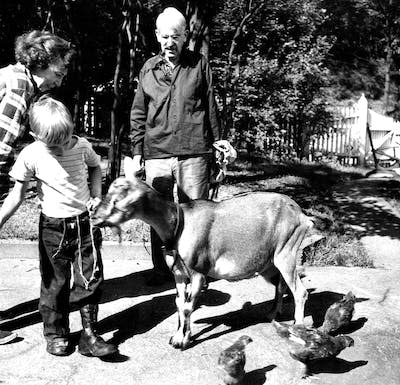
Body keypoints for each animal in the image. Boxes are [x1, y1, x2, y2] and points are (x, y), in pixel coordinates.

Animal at [92, 176, 314, 348]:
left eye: (118, 197)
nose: (94, 216)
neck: (180, 223)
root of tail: (302, 216)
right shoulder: (179, 274)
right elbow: (179, 303)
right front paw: (178, 336)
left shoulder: (198, 273)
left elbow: (188, 306)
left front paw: (182, 341)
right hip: (269, 263)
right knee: (281, 285)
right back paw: (272, 314)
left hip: (286, 252)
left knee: (300, 291)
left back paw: (298, 329)